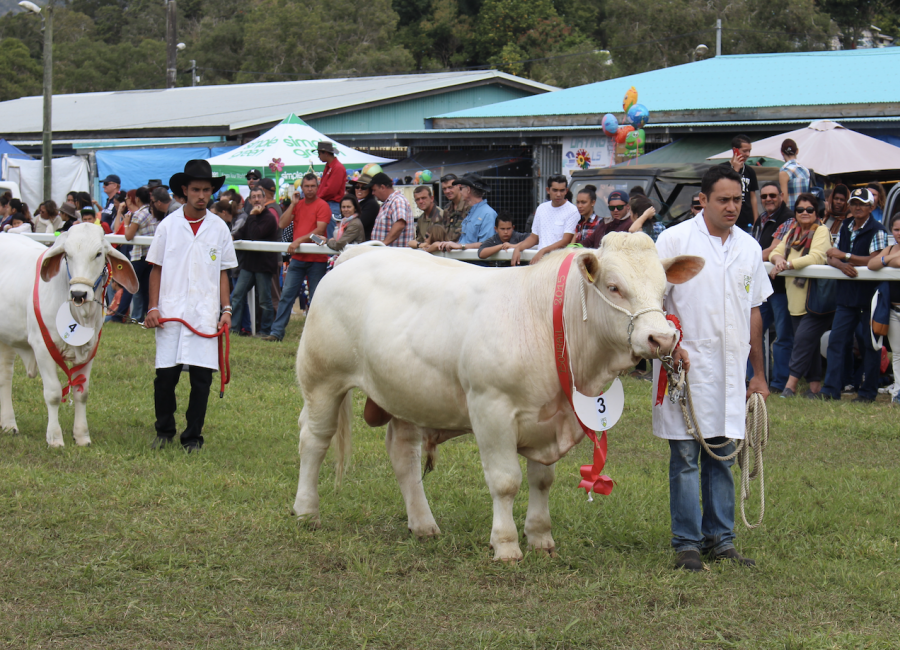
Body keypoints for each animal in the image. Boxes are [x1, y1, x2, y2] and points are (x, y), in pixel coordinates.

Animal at [0, 224, 137, 446]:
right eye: (67, 255)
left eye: (98, 254)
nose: (79, 294)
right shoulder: (42, 347)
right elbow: (54, 393)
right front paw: (55, 438)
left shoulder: (91, 348)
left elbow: (82, 393)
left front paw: (81, 436)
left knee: (5, 376)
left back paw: (9, 424)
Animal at [294, 233, 704, 556]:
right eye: (614, 286)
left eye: (663, 290)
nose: (662, 338)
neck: (549, 323)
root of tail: (356, 253)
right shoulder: (491, 409)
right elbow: (506, 481)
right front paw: (506, 544)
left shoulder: (550, 418)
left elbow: (542, 480)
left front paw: (540, 537)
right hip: (321, 380)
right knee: (314, 441)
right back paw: (306, 511)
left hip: (406, 394)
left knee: (403, 455)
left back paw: (423, 524)